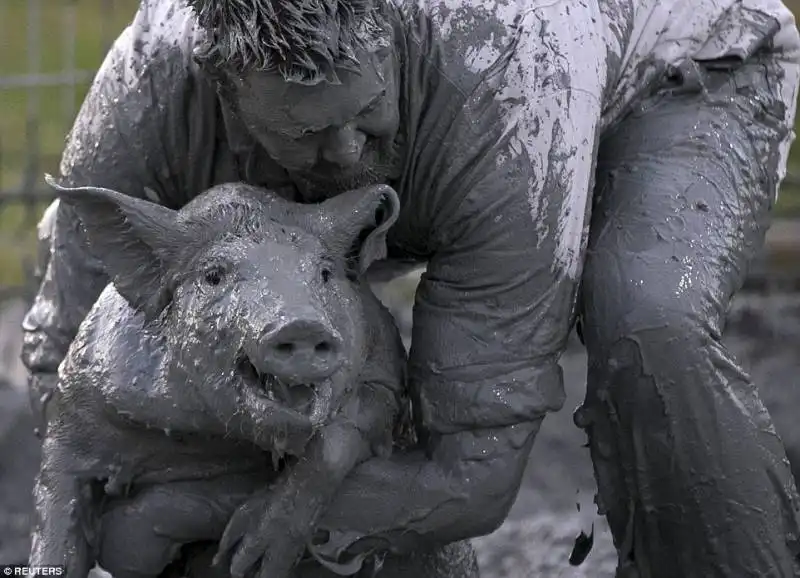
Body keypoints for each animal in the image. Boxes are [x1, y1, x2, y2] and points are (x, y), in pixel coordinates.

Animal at [28, 177, 410, 576]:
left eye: (324, 273)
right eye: (213, 275)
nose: (301, 325)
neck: (217, 437)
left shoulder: (386, 372)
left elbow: (342, 436)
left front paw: (247, 560)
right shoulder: (79, 398)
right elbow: (59, 496)